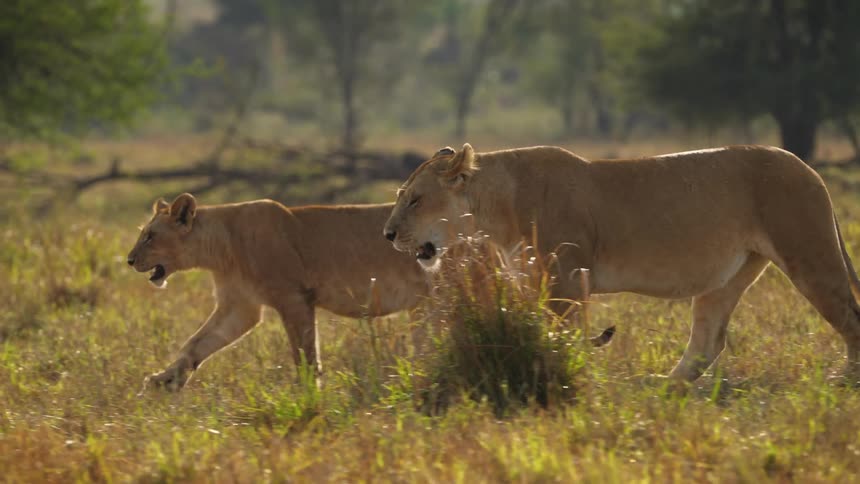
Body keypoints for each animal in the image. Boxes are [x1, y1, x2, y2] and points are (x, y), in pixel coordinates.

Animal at [127, 193, 432, 391]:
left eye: (150, 236)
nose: (129, 260)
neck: (221, 249)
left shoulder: (294, 298)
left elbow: (305, 357)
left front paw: (308, 398)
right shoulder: (239, 307)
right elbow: (196, 343)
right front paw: (164, 380)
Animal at [384, 143, 860, 384]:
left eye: (415, 199)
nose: (387, 235)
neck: (495, 209)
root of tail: (808, 167)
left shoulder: (567, 278)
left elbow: (561, 335)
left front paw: (564, 373)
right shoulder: (535, 280)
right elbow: (537, 329)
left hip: (810, 255)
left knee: (851, 320)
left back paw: (845, 381)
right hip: (728, 277)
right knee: (708, 341)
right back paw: (661, 388)